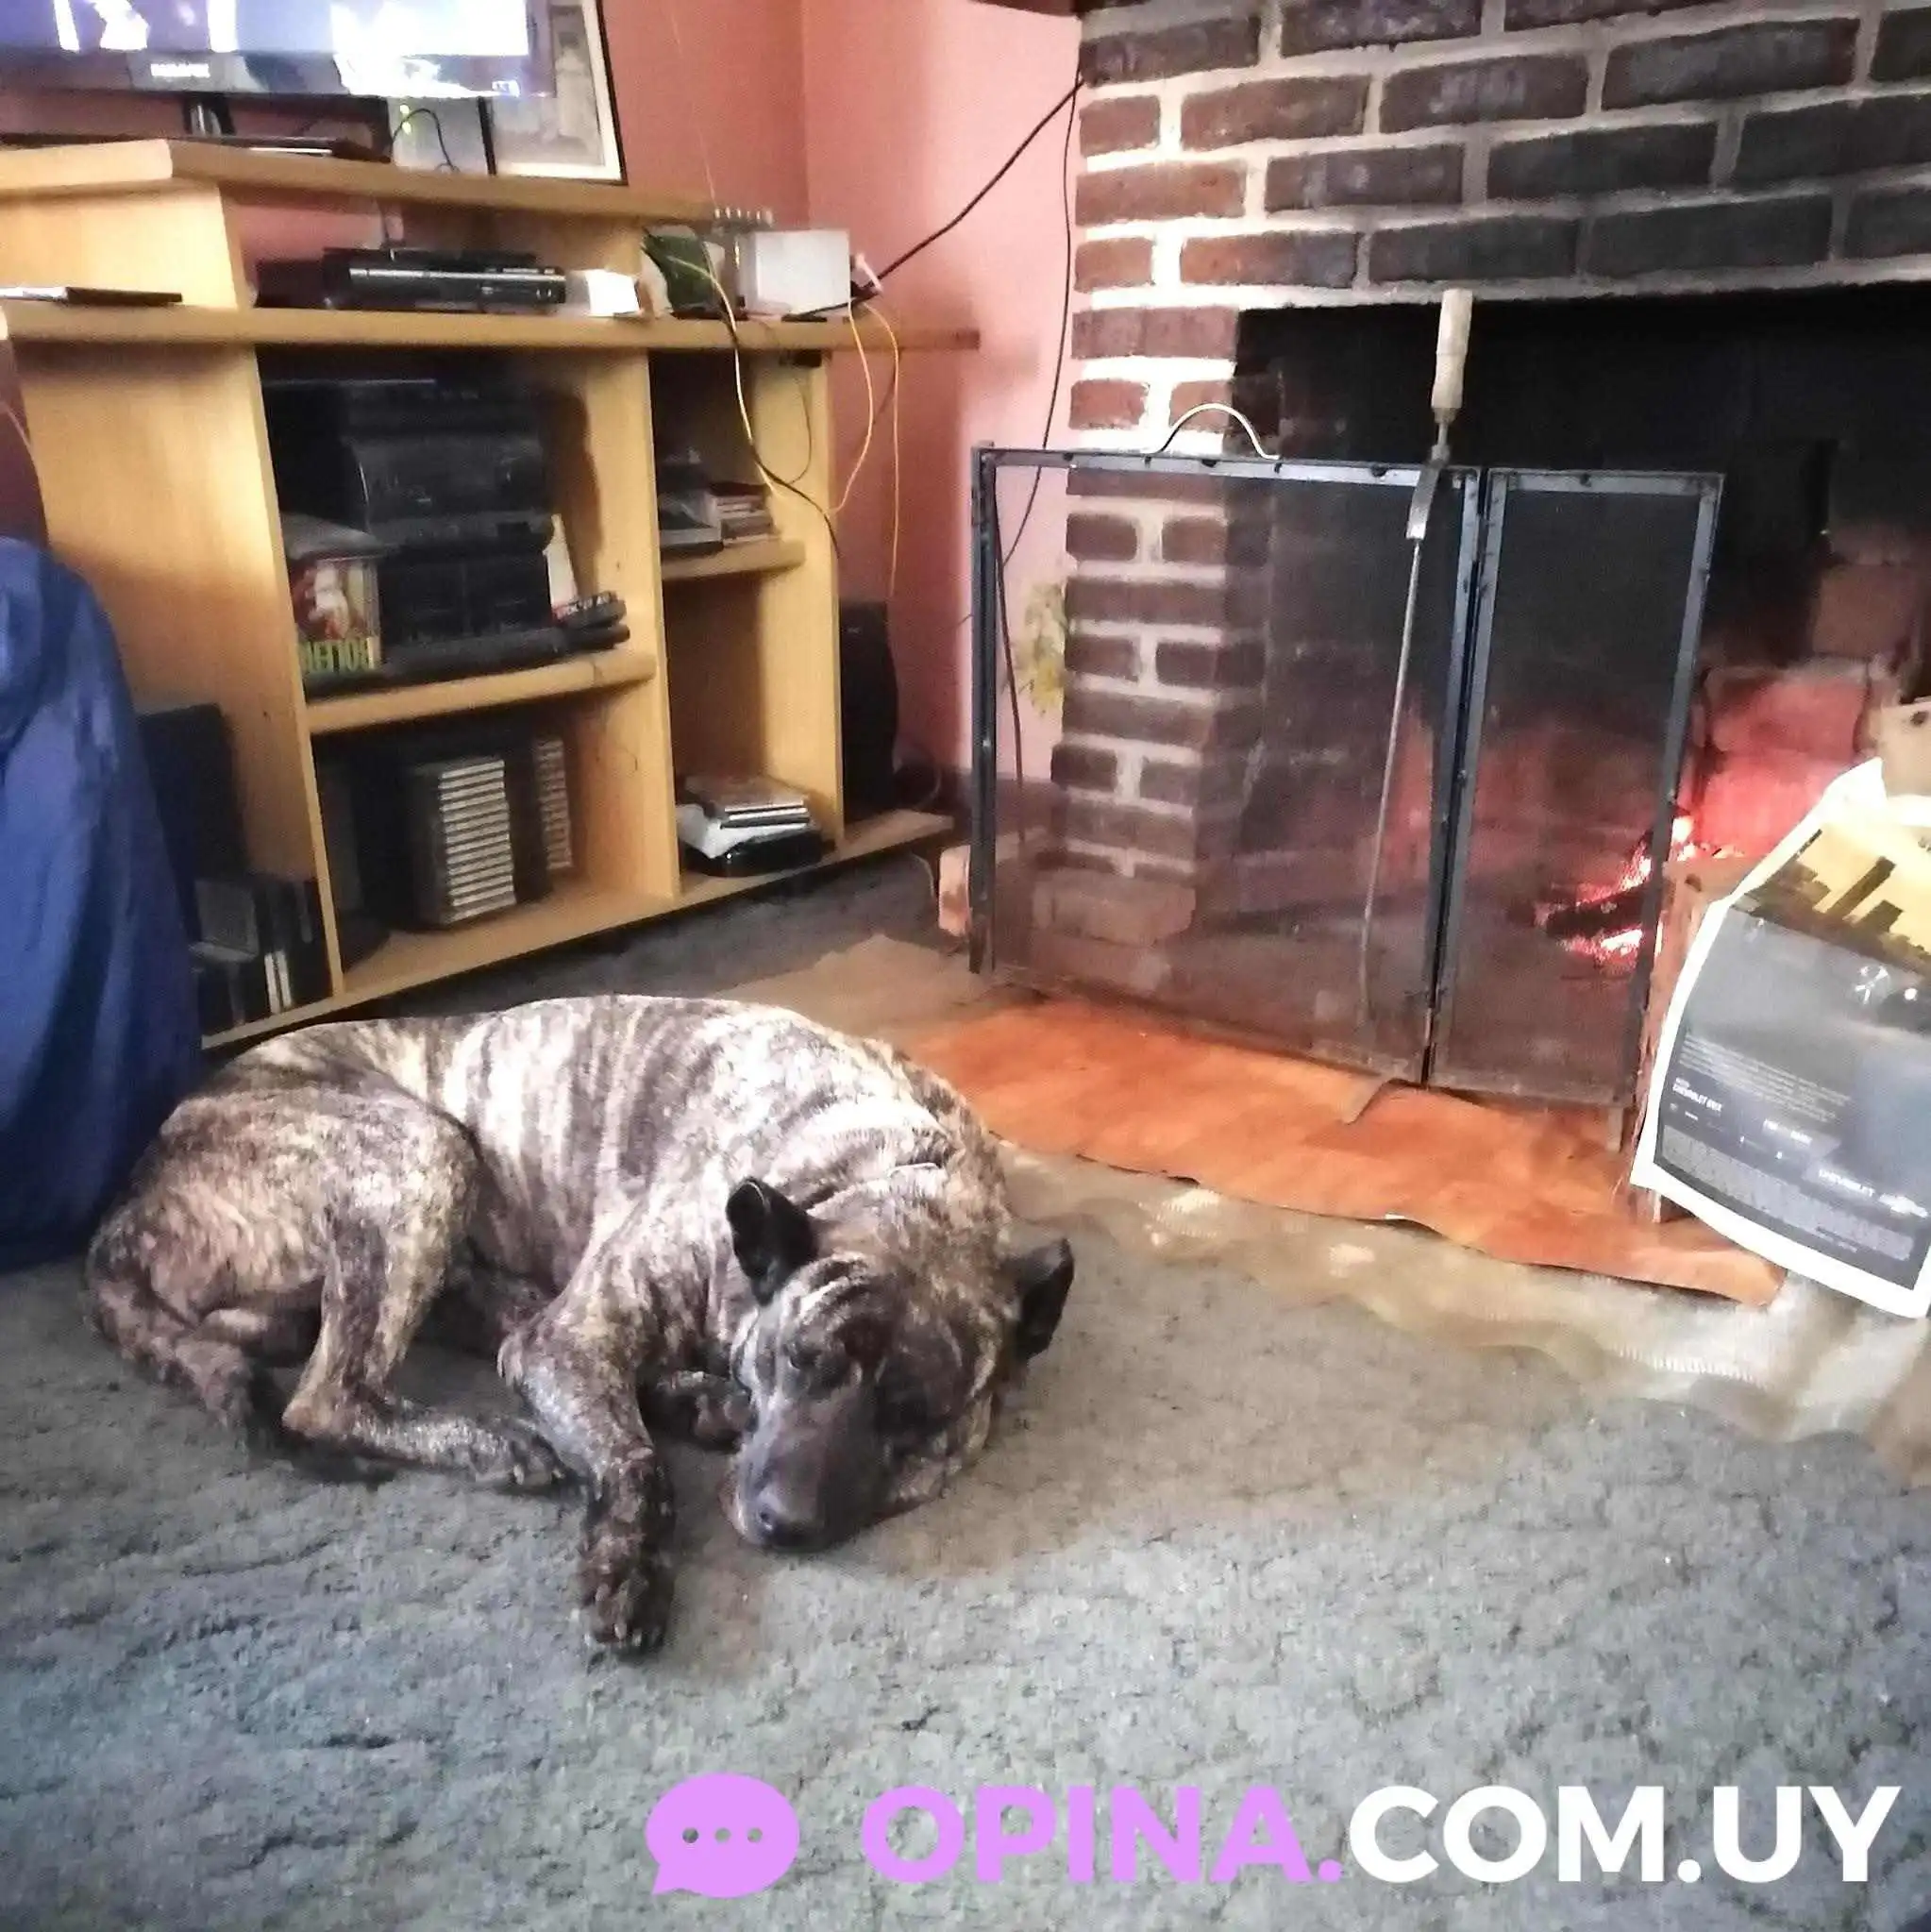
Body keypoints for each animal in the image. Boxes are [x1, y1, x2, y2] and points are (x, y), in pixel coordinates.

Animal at [84, 996, 1074, 1653]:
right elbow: (636, 1464)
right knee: (329, 1395)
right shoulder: (578, 1334)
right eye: (797, 1359)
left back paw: (689, 1400)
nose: (783, 1521)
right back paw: (501, 1441)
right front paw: (625, 1566)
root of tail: (127, 1206)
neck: (890, 1170)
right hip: (424, 1152)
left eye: (914, 1424)